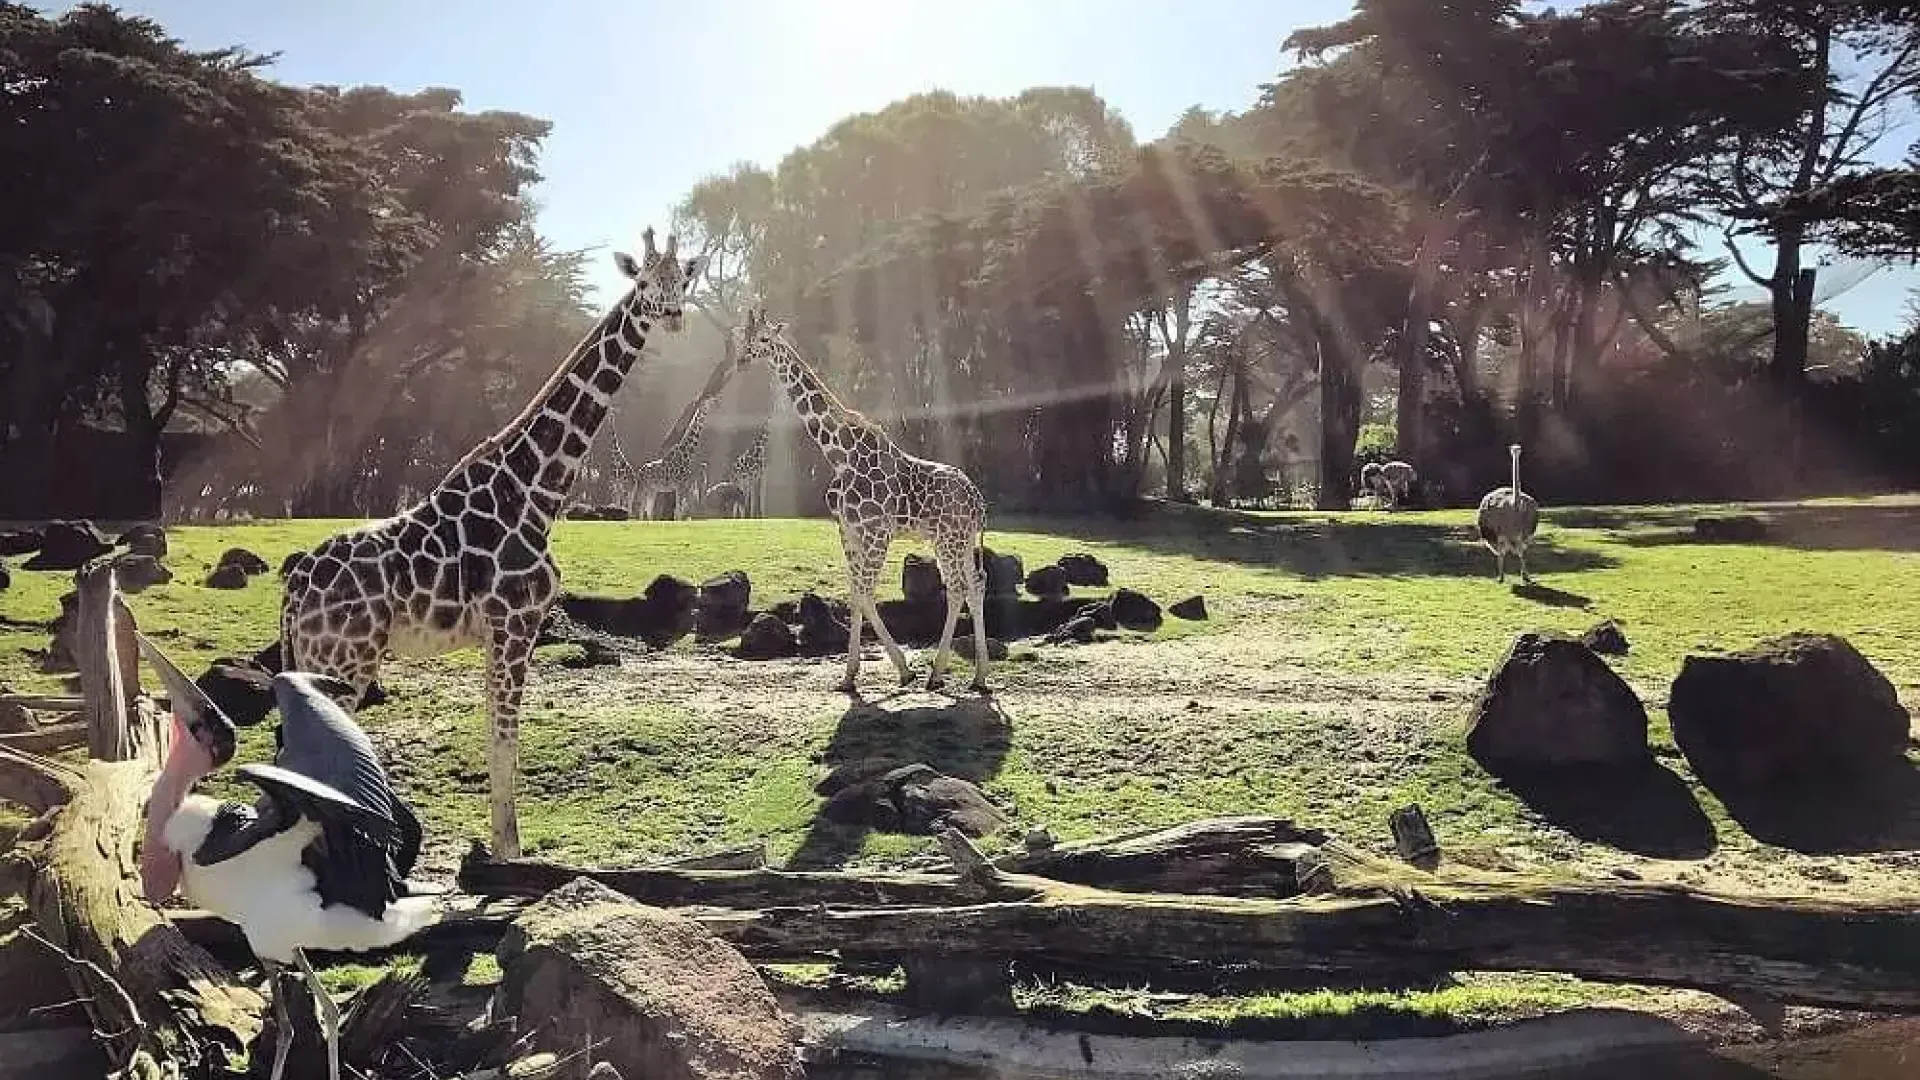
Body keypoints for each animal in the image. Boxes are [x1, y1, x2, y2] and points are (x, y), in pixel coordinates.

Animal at [280, 228, 710, 857]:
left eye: (683, 279)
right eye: (646, 282)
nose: (675, 316)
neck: (534, 490)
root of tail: (292, 588)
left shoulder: (503, 631)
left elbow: (494, 732)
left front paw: (500, 846)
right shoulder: (515, 622)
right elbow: (505, 738)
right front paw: (510, 851)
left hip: (317, 659)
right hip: (343, 659)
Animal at [721, 305, 990, 687]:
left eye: (763, 338)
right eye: (742, 335)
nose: (742, 358)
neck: (839, 454)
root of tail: (977, 499)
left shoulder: (877, 531)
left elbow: (864, 591)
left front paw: (900, 669)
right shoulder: (848, 531)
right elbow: (855, 593)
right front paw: (851, 676)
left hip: (948, 539)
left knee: (956, 589)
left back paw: (936, 672)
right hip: (960, 540)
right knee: (976, 585)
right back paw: (979, 675)